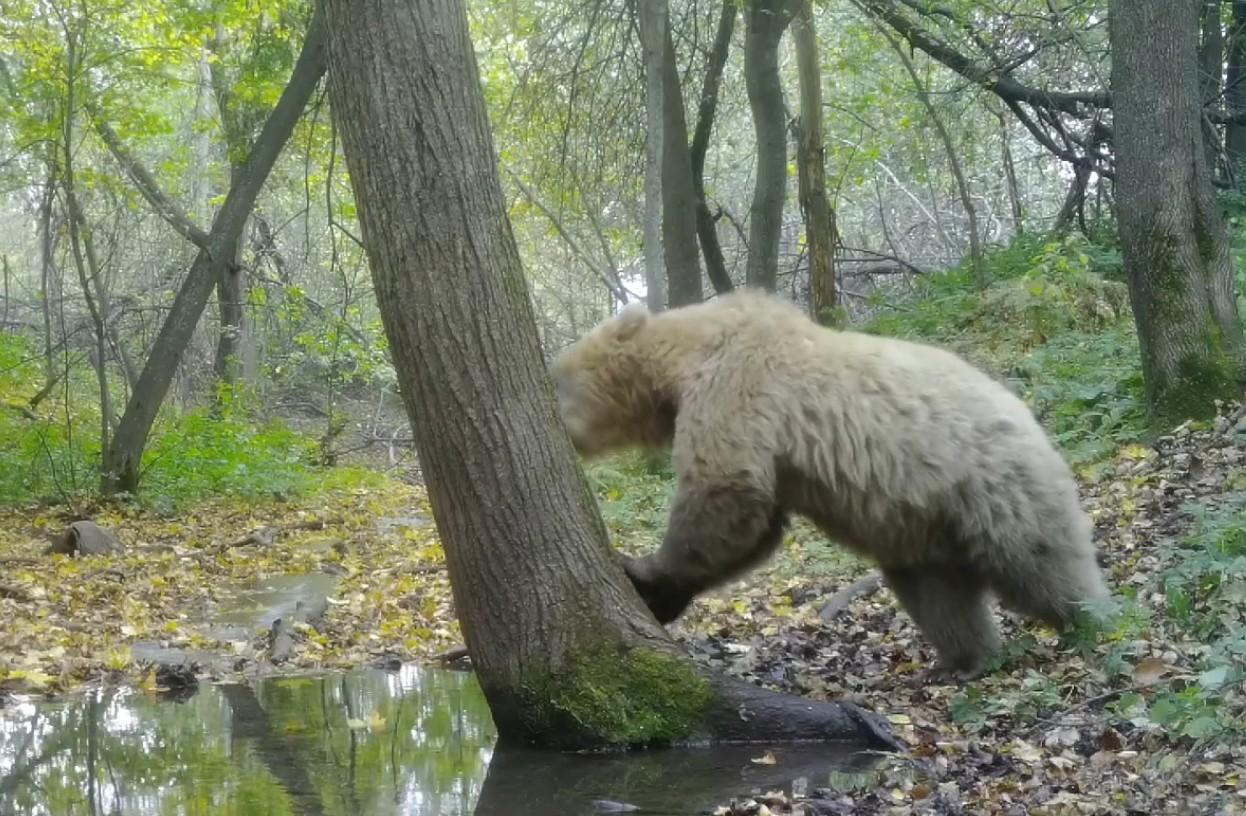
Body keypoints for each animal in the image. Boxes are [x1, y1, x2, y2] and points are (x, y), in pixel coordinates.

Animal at [553, 287, 1111, 677]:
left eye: (560, 378)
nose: (564, 431)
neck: (680, 365)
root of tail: (1031, 418)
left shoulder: (737, 391)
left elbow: (727, 495)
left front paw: (643, 571)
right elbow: (754, 531)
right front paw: (661, 597)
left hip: (991, 485)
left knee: (1038, 562)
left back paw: (1092, 620)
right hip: (922, 527)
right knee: (939, 594)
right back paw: (966, 659)